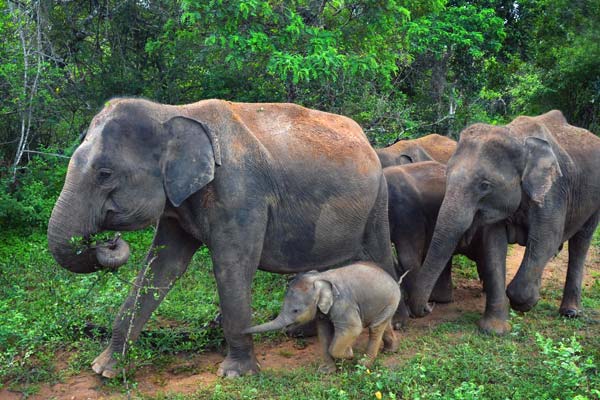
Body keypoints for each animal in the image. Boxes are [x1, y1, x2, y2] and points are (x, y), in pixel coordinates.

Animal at [244, 262, 404, 372]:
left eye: (295, 310)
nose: (242, 331)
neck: (320, 277)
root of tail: (393, 278)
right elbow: (323, 332)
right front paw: (326, 371)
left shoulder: (344, 303)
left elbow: (352, 328)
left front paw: (349, 353)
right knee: (382, 324)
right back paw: (390, 350)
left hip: (391, 299)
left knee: (375, 328)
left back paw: (363, 364)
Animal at [404, 110, 600, 334]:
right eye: (446, 176)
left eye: (484, 185)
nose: (429, 307)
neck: (516, 137)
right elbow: (492, 247)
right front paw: (494, 329)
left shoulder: (554, 192)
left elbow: (547, 238)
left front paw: (525, 303)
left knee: (580, 242)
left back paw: (570, 312)